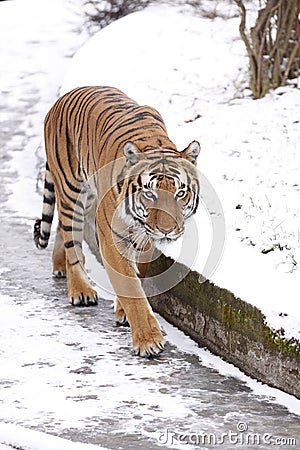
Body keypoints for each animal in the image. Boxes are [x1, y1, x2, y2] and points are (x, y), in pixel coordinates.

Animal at [34, 86, 200, 356]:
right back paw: (80, 289)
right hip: (71, 191)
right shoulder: (112, 240)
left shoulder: (145, 237)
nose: (167, 231)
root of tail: (62, 97)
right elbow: (132, 289)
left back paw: (59, 266)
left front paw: (123, 311)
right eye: (149, 193)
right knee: (72, 239)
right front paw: (148, 340)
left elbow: (137, 274)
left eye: (180, 193)